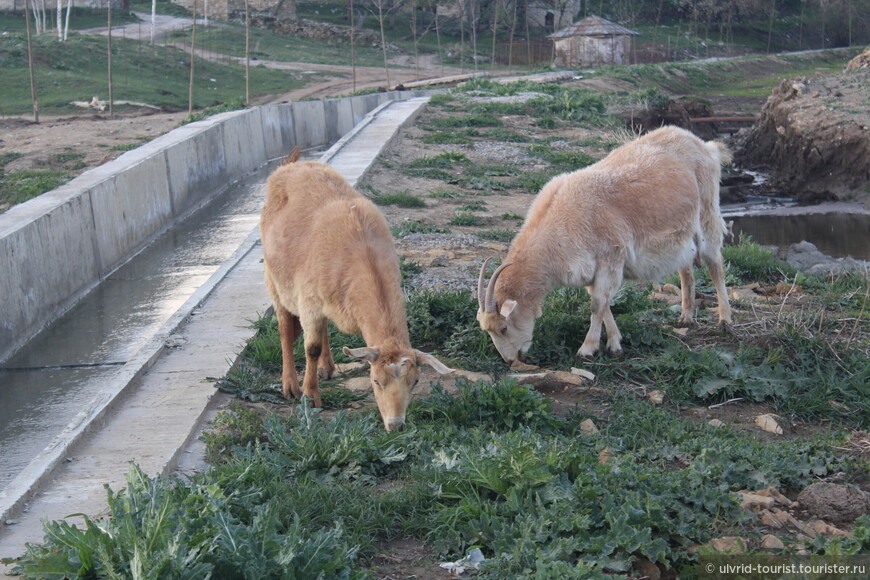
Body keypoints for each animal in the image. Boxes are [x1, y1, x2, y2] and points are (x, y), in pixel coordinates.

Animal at [258, 150, 450, 430]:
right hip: (274, 280)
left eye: (415, 381)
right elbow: (311, 348)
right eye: (376, 381)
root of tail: (292, 164)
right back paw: (290, 385)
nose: (396, 425)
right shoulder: (309, 302)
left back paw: (328, 367)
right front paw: (310, 397)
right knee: (284, 328)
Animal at [480, 125, 732, 362]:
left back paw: (725, 320)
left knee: (715, 265)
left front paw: (587, 349)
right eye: (489, 331)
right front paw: (615, 344)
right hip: (682, 237)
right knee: (686, 268)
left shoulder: (610, 257)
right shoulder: (590, 270)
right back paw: (686, 317)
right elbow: (604, 304)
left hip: (708, 214)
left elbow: (598, 303)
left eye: (504, 327)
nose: (510, 360)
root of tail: (703, 145)